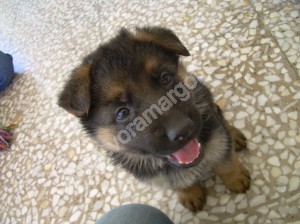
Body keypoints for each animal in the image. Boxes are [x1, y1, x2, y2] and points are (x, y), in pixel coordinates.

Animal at [58, 26, 251, 212]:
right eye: (122, 113)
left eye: (166, 78)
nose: (183, 129)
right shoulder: (159, 177)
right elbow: (178, 184)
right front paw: (190, 194)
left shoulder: (217, 137)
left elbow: (225, 162)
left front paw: (236, 178)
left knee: (220, 116)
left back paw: (235, 135)